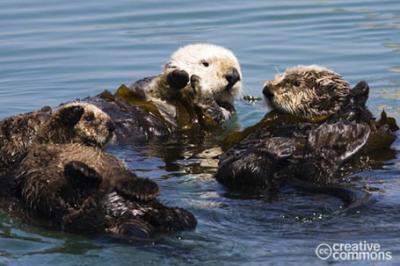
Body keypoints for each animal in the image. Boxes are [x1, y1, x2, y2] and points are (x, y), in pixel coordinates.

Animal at [217, 65, 398, 206]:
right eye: (280, 76)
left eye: (297, 84)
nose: (267, 90)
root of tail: (286, 176)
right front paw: (359, 90)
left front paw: (360, 90)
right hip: (229, 171)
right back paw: (278, 146)